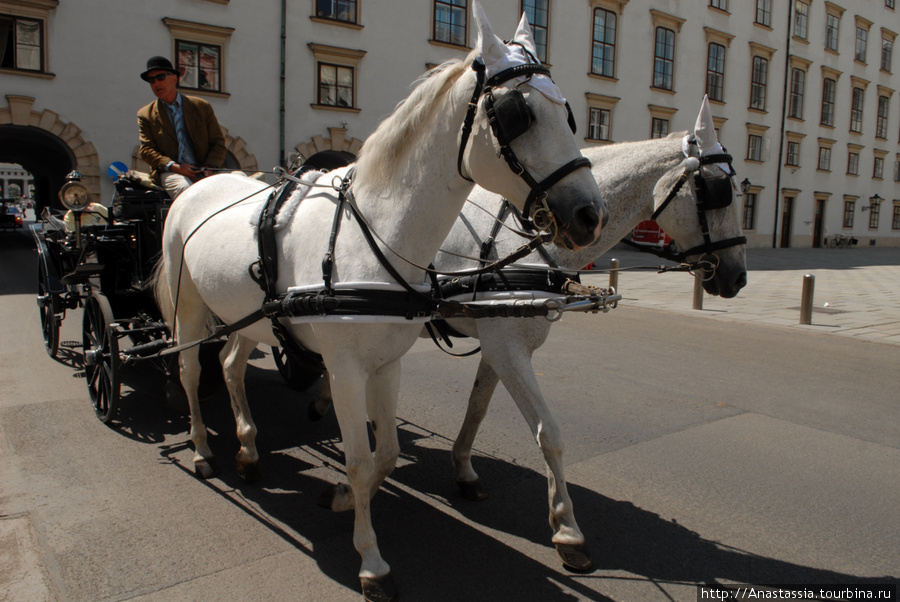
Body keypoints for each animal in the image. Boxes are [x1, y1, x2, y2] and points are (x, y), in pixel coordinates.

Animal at [155, 3, 604, 596]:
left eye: (572, 116)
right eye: (516, 114)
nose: (589, 214)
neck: (371, 232)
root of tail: (195, 185)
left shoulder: (388, 363)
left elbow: (385, 453)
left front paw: (345, 500)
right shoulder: (345, 368)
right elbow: (360, 460)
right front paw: (371, 561)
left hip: (246, 317)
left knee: (229, 365)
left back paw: (248, 448)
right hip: (189, 310)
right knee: (188, 372)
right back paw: (203, 449)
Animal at [310, 97, 744, 572]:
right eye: (715, 190)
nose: (738, 277)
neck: (529, 248)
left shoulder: (500, 345)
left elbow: (477, 409)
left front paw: (464, 469)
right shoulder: (507, 347)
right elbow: (548, 432)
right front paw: (568, 528)